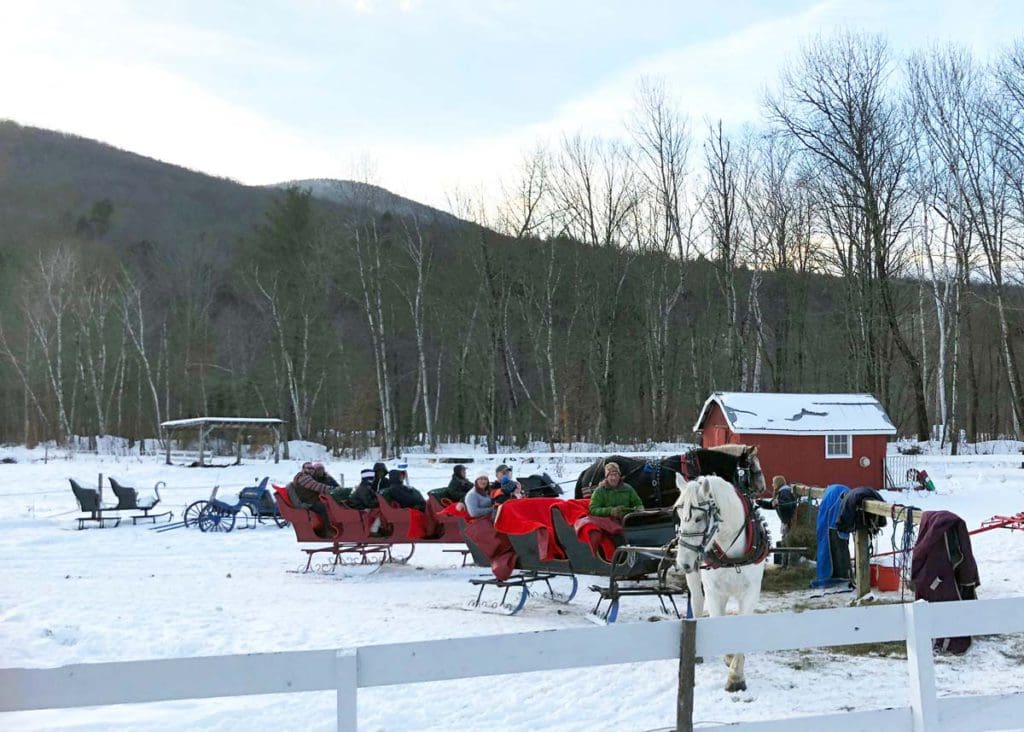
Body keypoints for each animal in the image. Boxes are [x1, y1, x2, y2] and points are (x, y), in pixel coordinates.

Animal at [671, 475, 770, 692]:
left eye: (699, 518)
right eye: (679, 515)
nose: (683, 563)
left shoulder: (752, 592)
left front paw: (736, 676)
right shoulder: (714, 592)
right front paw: (730, 659)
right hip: (695, 579)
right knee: (697, 602)